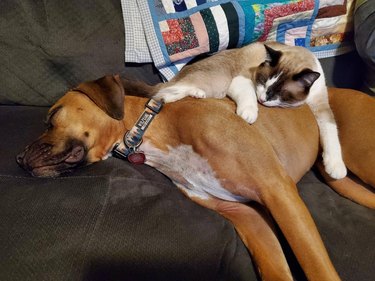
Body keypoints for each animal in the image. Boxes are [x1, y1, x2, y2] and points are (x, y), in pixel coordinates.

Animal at [16, 75, 375, 280]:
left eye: (52, 117)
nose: (18, 160)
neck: (154, 125)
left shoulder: (278, 191)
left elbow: (316, 267)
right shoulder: (248, 217)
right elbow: (276, 268)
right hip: (342, 181)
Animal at [154, 40, 348, 178]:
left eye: (279, 93)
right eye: (262, 81)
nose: (262, 99)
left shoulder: (321, 106)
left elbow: (331, 131)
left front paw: (335, 167)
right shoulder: (243, 79)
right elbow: (249, 97)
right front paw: (249, 114)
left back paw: (196, 94)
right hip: (219, 82)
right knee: (162, 91)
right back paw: (174, 97)